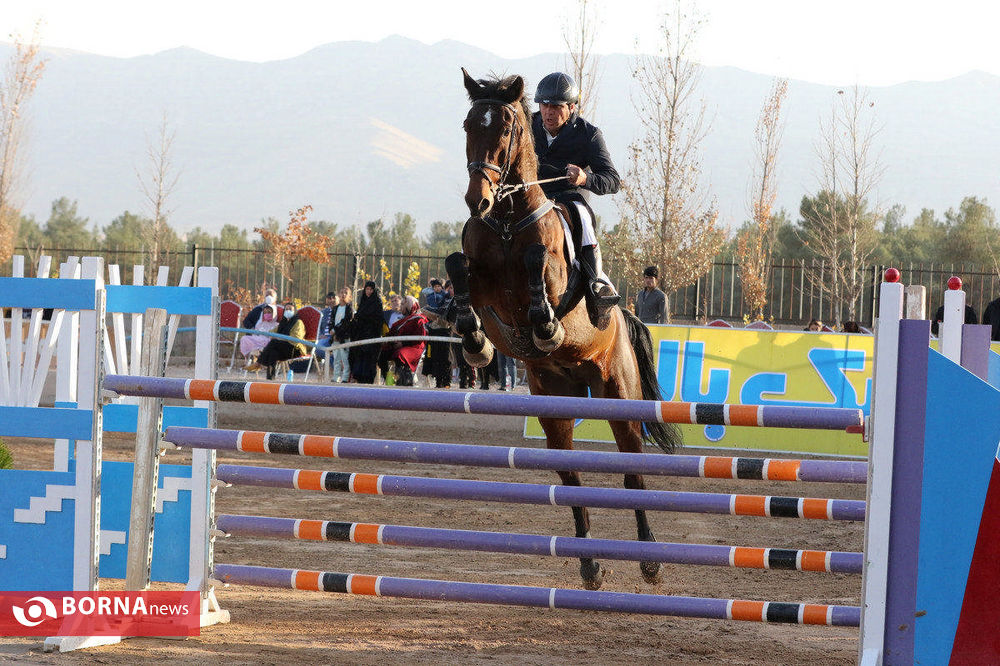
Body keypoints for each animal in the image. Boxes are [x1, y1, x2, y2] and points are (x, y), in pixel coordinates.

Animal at [446, 69, 682, 591]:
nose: (477, 200)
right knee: (571, 478)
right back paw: (590, 564)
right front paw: (475, 342)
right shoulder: (479, 275)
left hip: (618, 393)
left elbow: (539, 264)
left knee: (633, 474)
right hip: (555, 403)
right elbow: (456, 267)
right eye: (468, 124)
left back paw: (650, 560)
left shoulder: (548, 272)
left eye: (506, 127)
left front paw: (547, 328)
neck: (507, 222)